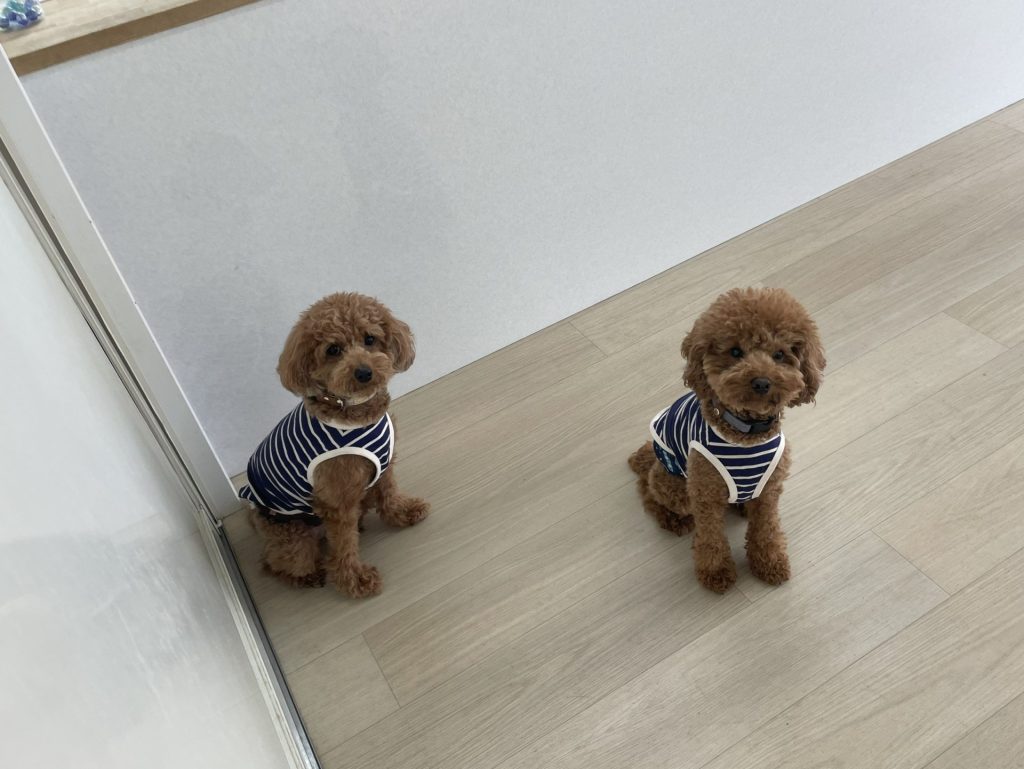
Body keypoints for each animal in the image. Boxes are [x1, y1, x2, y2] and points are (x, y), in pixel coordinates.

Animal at [239, 292, 430, 598]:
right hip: (295, 538)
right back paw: (307, 577)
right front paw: (356, 580)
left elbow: (389, 493)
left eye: (369, 338)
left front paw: (402, 513)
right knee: (273, 564)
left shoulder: (384, 466)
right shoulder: (337, 502)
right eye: (333, 349)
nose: (364, 372)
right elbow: (343, 547)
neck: (352, 410)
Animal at [629, 287, 825, 593]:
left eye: (780, 354)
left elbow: (766, 530)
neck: (746, 433)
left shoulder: (769, 492)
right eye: (735, 351)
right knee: (648, 491)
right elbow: (711, 537)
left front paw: (769, 563)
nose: (761, 382)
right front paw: (716, 571)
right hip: (675, 486)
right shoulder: (705, 495)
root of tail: (654, 455)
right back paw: (672, 519)